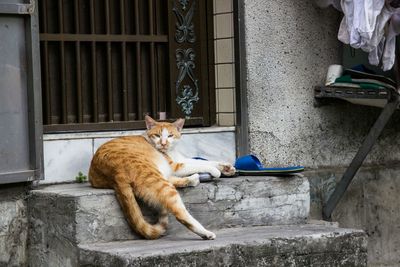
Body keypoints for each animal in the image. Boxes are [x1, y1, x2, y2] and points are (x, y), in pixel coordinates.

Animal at [89, 116, 236, 242]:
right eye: (157, 135)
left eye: (170, 135)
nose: (164, 143)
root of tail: (115, 172)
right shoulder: (176, 166)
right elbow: (200, 164)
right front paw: (216, 171)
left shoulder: (180, 160)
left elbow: (204, 161)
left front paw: (227, 167)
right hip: (159, 181)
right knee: (180, 213)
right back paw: (205, 233)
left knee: (172, 181)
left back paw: (193, 179)